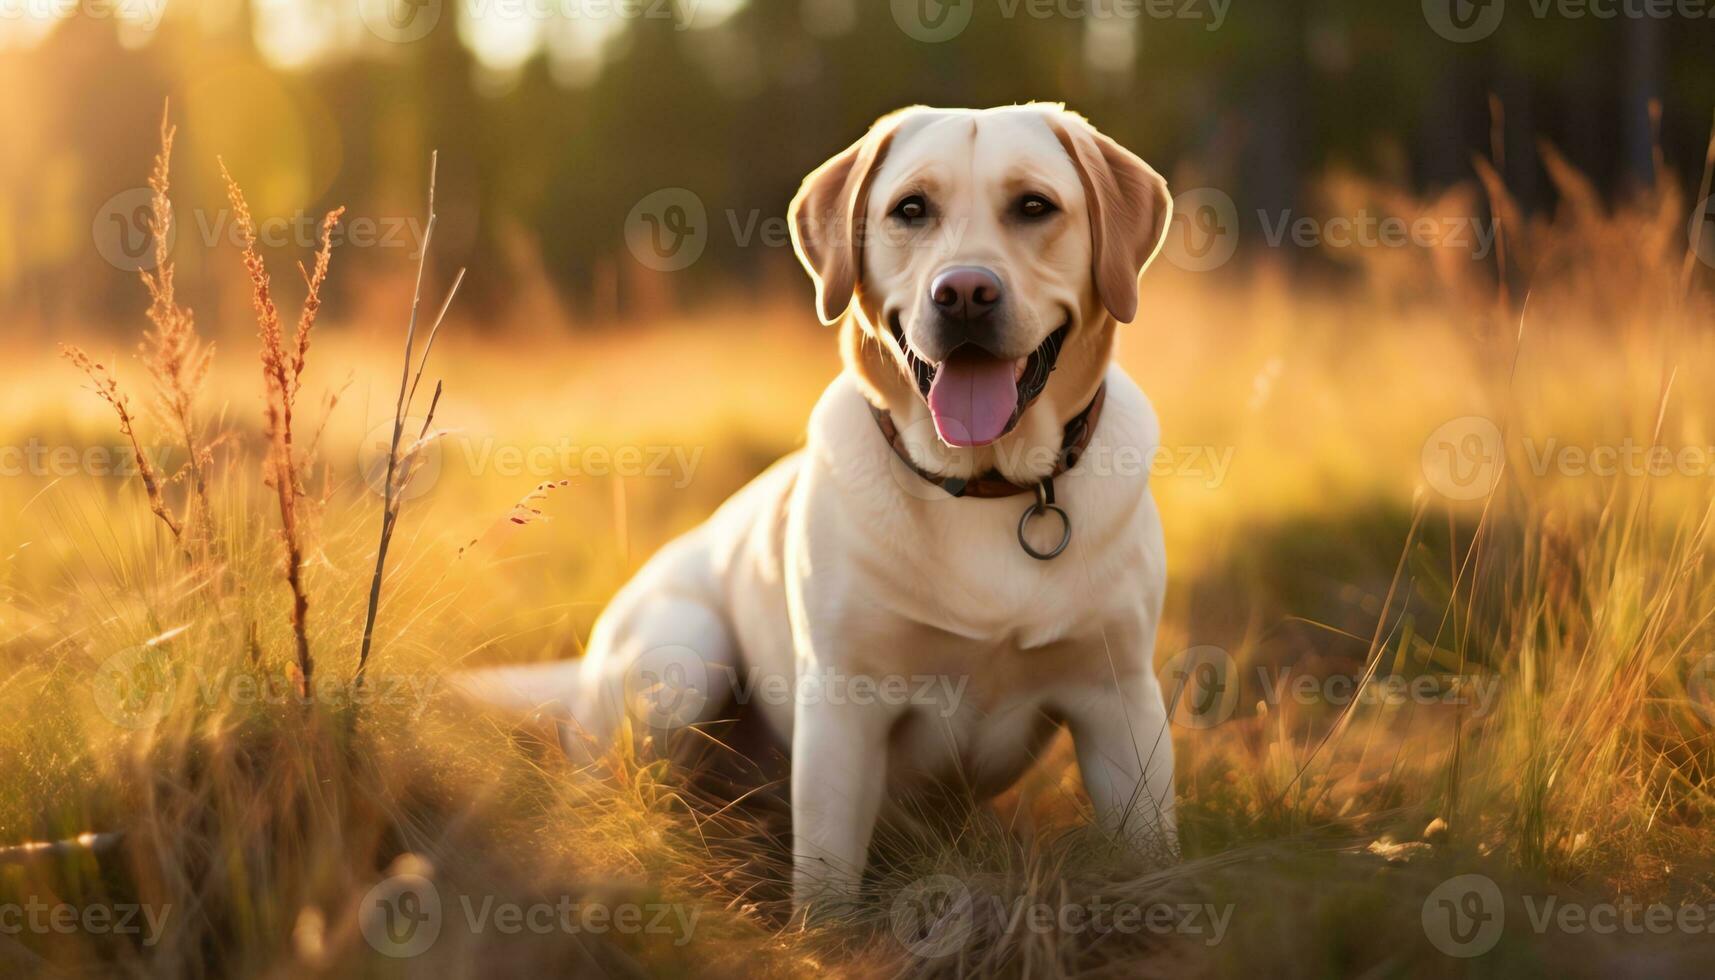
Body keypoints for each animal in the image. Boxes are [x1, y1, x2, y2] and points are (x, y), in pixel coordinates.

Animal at [463, 103, 1173, 906]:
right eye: (911, 210)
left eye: (1033, 207)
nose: (963, 293)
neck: (985, 484)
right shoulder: (842, 706)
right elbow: (828, 880)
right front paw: (823, 933)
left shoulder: (1120, 703)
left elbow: (1151, 856)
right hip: (683, 651)